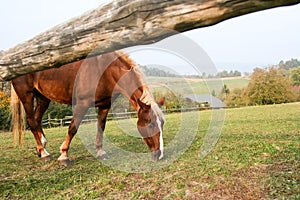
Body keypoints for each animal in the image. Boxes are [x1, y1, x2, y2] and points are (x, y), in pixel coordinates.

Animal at [11, 51, 164, 166]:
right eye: (149, 124)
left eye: (162, 123)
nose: (160, 155)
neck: (103, 70)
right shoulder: (82, 104)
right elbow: (73, 128)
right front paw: (64, 156)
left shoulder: (104, 105)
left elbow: (101, 127)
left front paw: (100, 152)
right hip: (27, 97)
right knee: (31, 121)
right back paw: (44, 153)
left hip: (43, 98)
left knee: (37, 120)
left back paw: (42, 148)